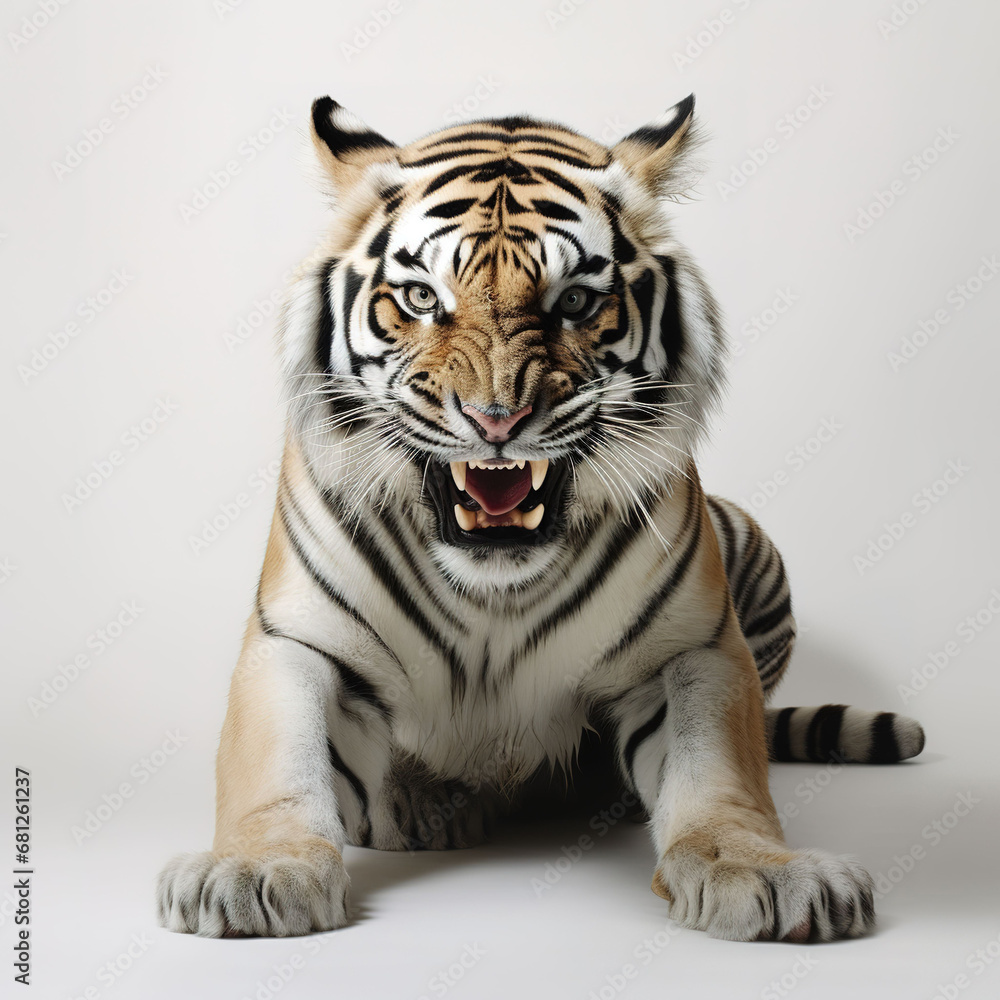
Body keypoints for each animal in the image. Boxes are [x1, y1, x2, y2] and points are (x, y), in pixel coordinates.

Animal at [156, 94, 925, 943]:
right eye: (422, 299)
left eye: (577, 302)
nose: (497, 420)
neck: (493, 585)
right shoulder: (299, 643)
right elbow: (276, 763)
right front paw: (257, 872)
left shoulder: (691, 649)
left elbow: (720, 770)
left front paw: (763, 873)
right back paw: (422, 802)